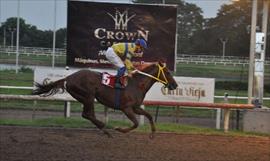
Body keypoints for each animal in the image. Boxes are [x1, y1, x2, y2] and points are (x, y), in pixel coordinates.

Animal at [32, 62, 177, 138]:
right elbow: (135, 123)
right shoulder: (126, 108)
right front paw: (119, 129)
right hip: (88, 96)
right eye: (168, 72)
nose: (175, 85)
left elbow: (149, 116)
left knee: (88, 114)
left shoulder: (135, 107)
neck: (136, 84)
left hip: (84, 97)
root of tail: (68, 78)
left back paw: (104, 129)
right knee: (87, 114)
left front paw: (153, 134)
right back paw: (105, 128)